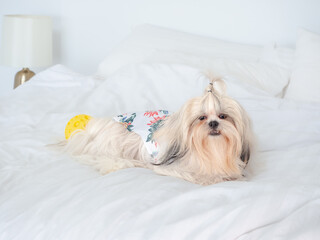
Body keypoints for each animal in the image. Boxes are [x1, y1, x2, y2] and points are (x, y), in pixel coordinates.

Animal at [60, 77, 254, 186]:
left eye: (223, 116)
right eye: (202, 117)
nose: (213, 123)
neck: (211, 150)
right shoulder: (173, 169)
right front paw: (213, 179)